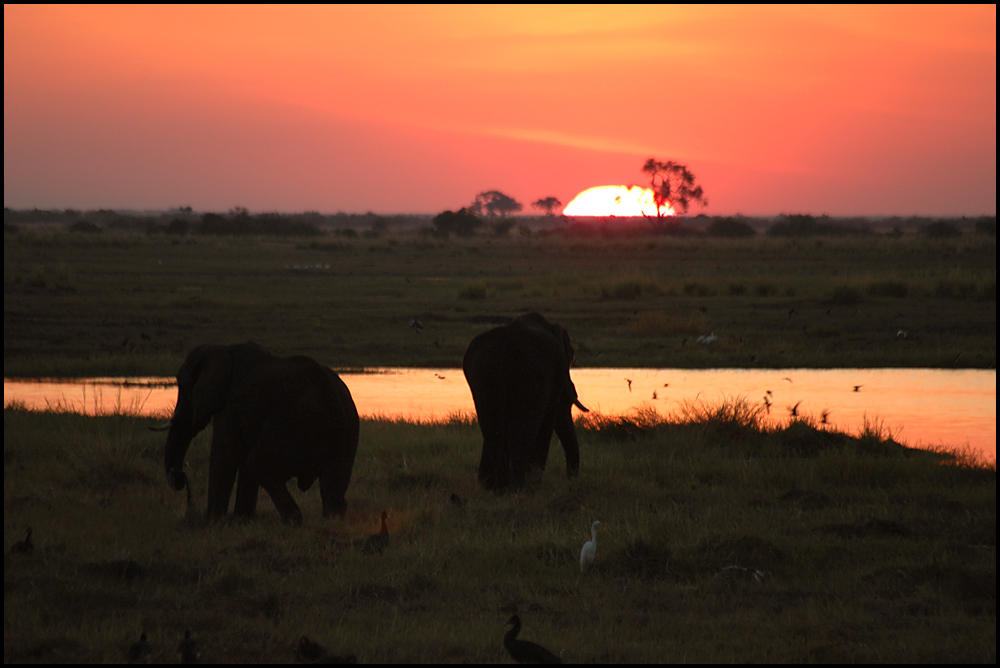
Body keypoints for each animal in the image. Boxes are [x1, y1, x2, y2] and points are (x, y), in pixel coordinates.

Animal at [151, 342, 360, 524]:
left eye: (183, 386)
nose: (179, 476)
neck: (223, 349)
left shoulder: (230, 404)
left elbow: (224, 455)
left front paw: (213, 523)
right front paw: (240, 522)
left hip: (292, 423)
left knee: (258, 463)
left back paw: (294, 521)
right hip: (345, 431)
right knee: (333, 481)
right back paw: (332, 520)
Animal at [464, 312, 588, 490]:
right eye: (571, 360)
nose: (570, 480)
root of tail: (507, 342)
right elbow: (549, 419)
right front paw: (535, 483)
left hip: (482, 376)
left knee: (491, 429)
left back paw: (499, 488)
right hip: (529, 376)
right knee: (521, 431)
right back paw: (520, 488)